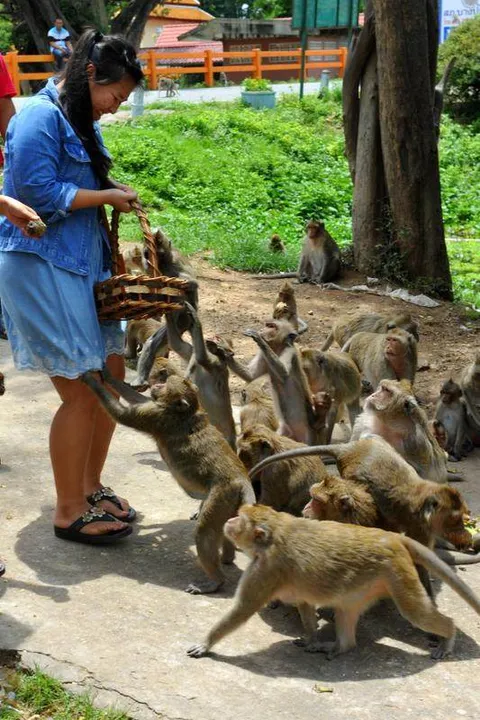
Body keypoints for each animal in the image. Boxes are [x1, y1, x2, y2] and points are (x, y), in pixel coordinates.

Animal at [82, 371, 256, 594]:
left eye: (165, 384)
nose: (155, 385)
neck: (185, 411)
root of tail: (243, 480)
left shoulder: (158, 417)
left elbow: (122, 414)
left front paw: (90, 380)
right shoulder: (158, 410)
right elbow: (137, 400)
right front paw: (107, 374)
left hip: (222, 495)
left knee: (204, 532)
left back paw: (215, 581)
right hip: (231, 503)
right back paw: (227, 558)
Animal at [132, 229, 199, 389]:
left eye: (161, 254)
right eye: (149, 254)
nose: (155, 262)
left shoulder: (176, 262)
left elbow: (191, 283)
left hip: (181, 322)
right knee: (151, 344)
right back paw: (140, 381)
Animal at [166, 302, 236, 449]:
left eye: (218, 338)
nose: (210, 338)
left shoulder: (217, 364)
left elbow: (201, 357)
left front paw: (195, 318)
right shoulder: (191, 351)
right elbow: (177, 345)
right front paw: (169, 312)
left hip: (228, 438)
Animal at [187, 504, 480, 660]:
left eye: (241, 518)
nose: (229, 520)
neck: (272, 536)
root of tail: (391, 537)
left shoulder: (265, 570)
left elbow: (243, 609)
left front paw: (206, 642)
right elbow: (304, 604)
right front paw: (311, 637)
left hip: (397, 572)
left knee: (415, 612)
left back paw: (448, 635)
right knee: (345, 610)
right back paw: (340, 646)